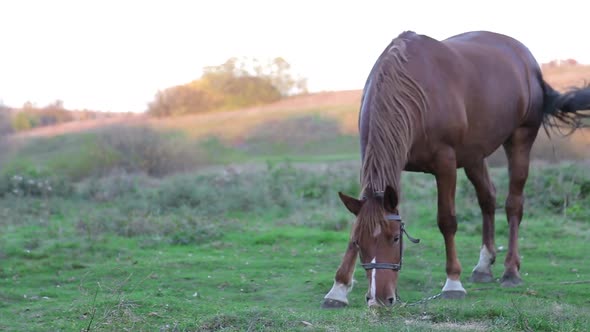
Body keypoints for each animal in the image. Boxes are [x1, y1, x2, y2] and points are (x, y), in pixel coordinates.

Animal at [324, 29, 590, 308]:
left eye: (395, 238)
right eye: (360, 241)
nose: (379, 298)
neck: (413, 90)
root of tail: (530, 63)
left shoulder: (445, 164)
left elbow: (447, 221)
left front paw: (453, 282)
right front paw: (338, 288)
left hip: (520, 139)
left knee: (513, 204)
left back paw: (510, 271)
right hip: (474, 155)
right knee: (488, 198)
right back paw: (483, 266)